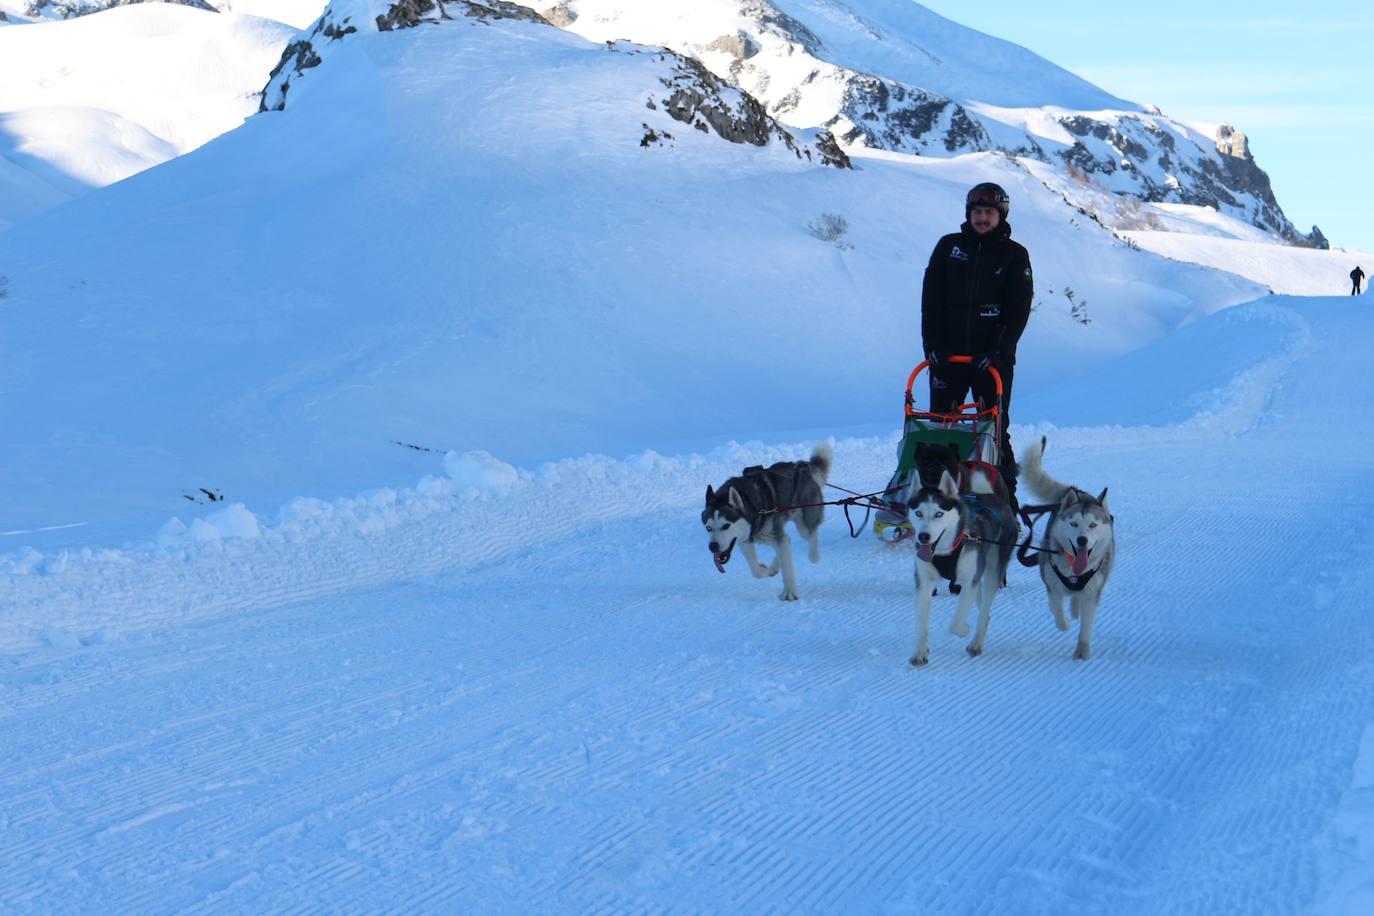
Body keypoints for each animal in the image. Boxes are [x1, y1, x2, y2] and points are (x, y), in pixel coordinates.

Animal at [703, 444, 829, 601]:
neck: (753, 507)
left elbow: (787, 567)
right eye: (708, 528)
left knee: (810, 535)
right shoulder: (744, 539)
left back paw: (814, 556)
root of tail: (802, 466)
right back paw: (774, 566)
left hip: (803, 524)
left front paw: (789, 593)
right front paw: (764, 570)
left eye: (726, 526)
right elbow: (755, 571)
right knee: (787, 541)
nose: (713, 546)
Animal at [912, 469, 1022, 661]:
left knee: (984, 611)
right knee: (984, 611)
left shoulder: (970, 581)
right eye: (918, 513)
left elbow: (955, 623)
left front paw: (963, 630)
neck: (945, 550)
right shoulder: (925, 583)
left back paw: (976, 644)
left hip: (992, 572)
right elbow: (921, 621)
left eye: (939, 514)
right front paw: (920, 652)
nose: (923, 536)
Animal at [1022, 436, 1115, 659]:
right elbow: (1056, 609)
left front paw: (1082, 652)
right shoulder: (1051, 584)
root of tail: (1080, 492)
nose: (1082, 540)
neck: (1074, 572)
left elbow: (1086, 626)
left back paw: (1075, 607)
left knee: (1077, 600)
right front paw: (1064, 624)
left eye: (1093, 525)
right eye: (1073, 524)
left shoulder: (1092, 594)